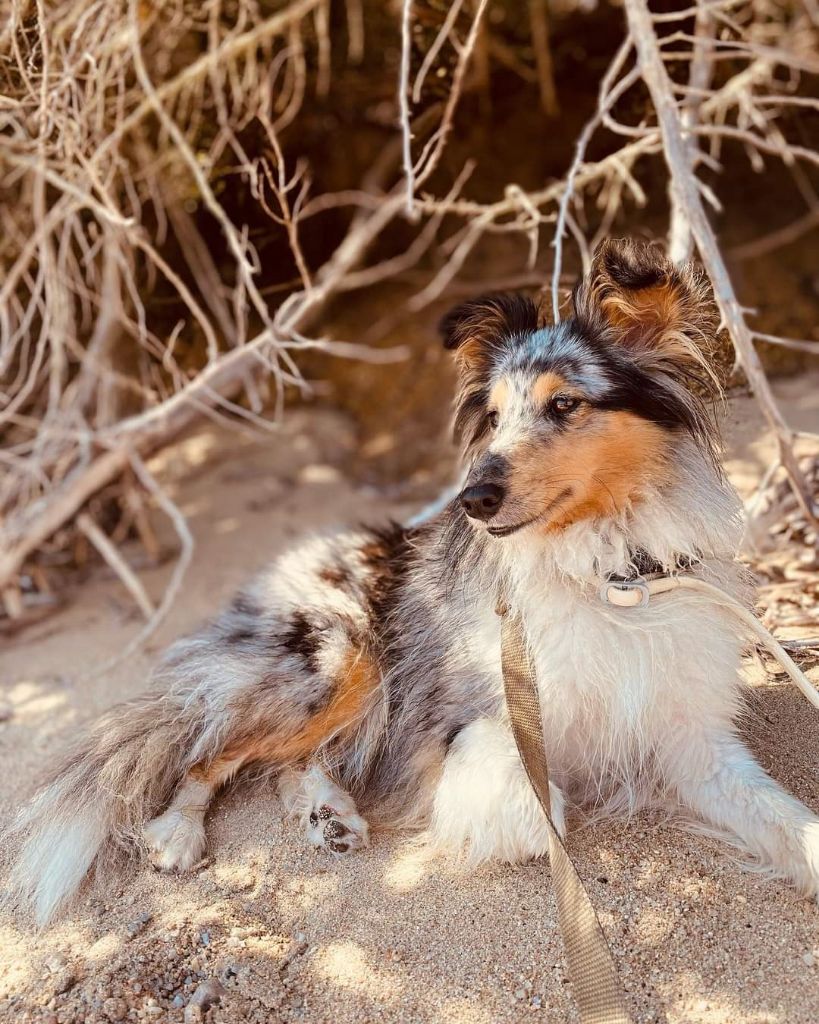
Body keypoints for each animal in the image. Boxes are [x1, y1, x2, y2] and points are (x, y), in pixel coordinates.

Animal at [7, 239, 818, 929]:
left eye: (564, 404)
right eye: (492, 417)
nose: (473, 498)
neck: (608, 576)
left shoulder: (692, 741)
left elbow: (785, 818)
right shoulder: (483, 728)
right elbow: (542, 807)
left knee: (293, 761)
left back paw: (327, 815)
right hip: (342, 662)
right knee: (214, 751)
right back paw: (179, 830)